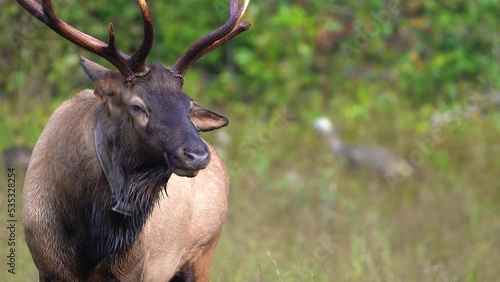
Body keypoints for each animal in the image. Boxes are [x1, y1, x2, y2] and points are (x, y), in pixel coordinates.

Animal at [17, 0, 252, 280]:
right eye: (137, 106)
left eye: (188, 105)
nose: (197, 155)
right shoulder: (47, 265)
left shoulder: (134, 269)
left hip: (203, 253)